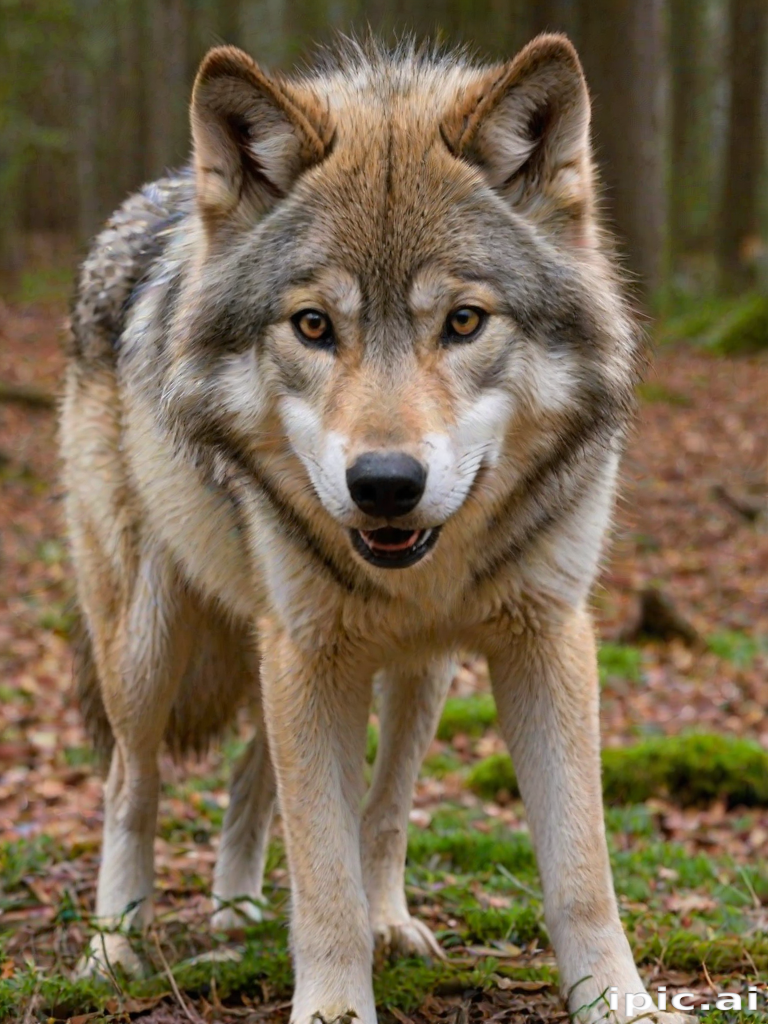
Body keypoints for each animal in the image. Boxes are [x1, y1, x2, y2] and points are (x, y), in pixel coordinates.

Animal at [61, 33, 687, 1024]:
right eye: (314, 325)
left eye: (463, 320)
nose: (386, 485)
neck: (419, 573)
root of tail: (157, 194)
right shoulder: (309, 652)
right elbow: (323, 878)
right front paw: (332, 1005)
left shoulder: (546, 638)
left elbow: (579, 873)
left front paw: (616, 1001)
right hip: (150, 642)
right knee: (133, 784)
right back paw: (114, 949)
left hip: (408, 671)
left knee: (316, 792)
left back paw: (256, 911)